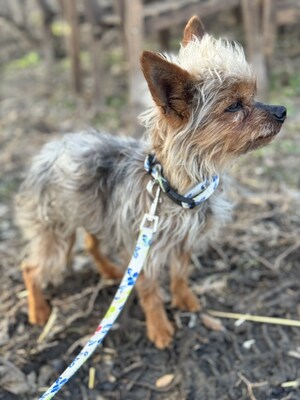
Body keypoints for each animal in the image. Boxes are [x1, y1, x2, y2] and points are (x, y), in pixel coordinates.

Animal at [15, 16, 286, 346]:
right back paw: (39, 310)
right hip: (56, 235)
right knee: (31, 268)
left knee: (91, 242)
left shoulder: (182, 242)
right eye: (234, 106)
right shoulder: (145, 247)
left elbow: (180, 275)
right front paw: (159, 328)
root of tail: (46, 153)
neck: (176, 190)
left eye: (253, 94)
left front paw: (187, 301)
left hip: (92, 212)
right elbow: (150, 291)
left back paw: (111, 271)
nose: (283, 111)